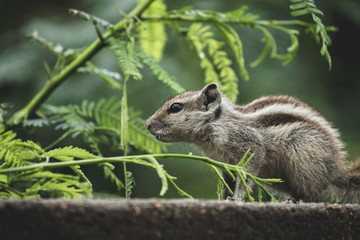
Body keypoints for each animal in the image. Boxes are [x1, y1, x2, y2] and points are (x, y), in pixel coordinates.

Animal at [146, 83, 360, 202]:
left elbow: (245, 178)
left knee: (314, 196)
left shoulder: (250, 147)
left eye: (175, 108)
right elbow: (228, 183)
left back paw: (293, 201)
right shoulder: (225, 165)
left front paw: (237, 198)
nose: (147, 124)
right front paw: (224, 199)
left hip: (302, 152)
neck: (219, 123)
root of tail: (336, 168)